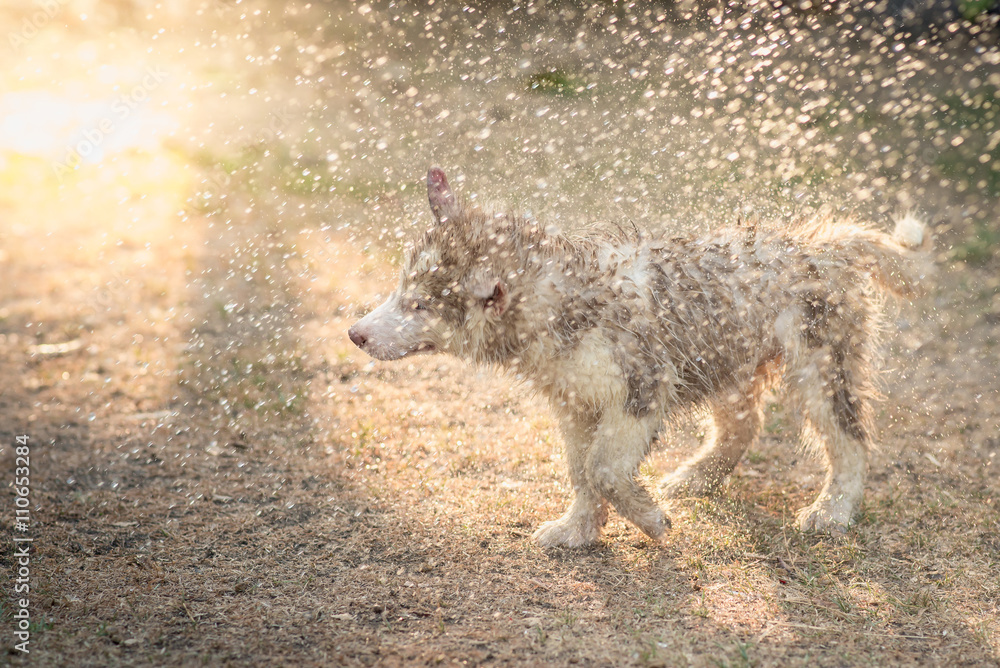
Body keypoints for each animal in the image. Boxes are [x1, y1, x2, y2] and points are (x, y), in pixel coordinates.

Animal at [352, 168, 928, 548]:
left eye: (421, 305)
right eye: (401, 288)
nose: (356, 334)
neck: (562, 303)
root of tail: (827, 242)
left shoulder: (643, 386)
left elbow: (604, 468)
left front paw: (649, 520)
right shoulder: (575, 402)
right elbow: (580, 470)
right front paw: (578, 530)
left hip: (820, 364)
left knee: (850, 441)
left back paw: (832, 511)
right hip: (723, 356)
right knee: (745, 423)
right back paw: (699, 477)